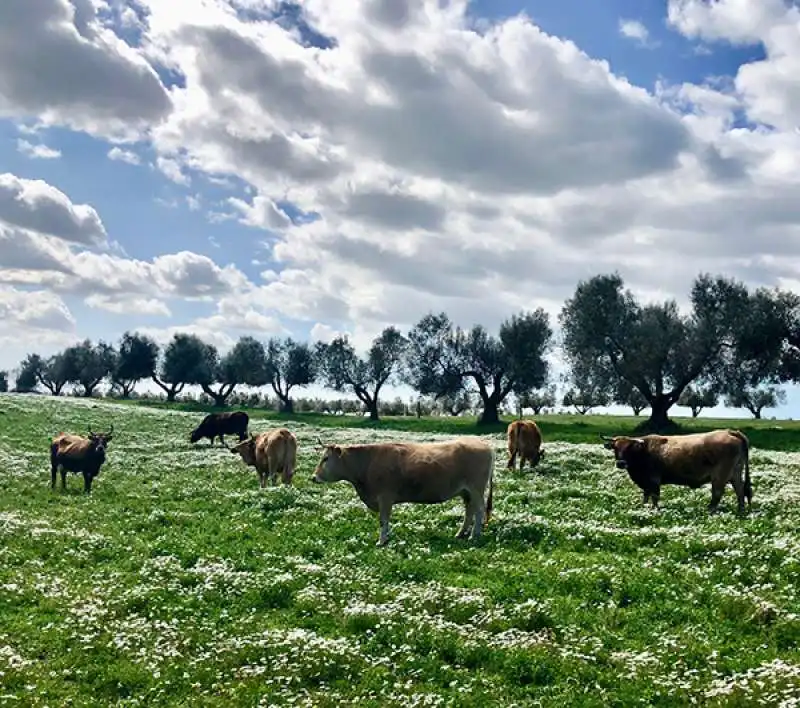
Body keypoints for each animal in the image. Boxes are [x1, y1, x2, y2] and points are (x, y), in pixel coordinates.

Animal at [310, 436, 494, 548]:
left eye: (326, 458)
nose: (313, 477)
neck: (367, 462)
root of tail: (483, 444)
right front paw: (386, 538)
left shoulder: (385, 497)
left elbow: (383, 520)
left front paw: (381, 541)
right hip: (466, 491)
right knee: (469, 510)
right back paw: (461, 533)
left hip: (476, 489)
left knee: (479, 511)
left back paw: (474, 536)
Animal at [604, 426, 752, 516]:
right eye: (615, 447)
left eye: (629, 448)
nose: (621, 463)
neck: (644, 450)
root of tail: (730, 431)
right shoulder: (646, 482)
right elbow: (646, 496)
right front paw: (643, 508)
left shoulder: (653, 480)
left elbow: (654, 497)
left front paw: (654, 510)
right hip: (735, 474)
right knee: (740, 491)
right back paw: (740, 511)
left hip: (720, 476)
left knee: (717, 494)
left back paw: (709, 511)